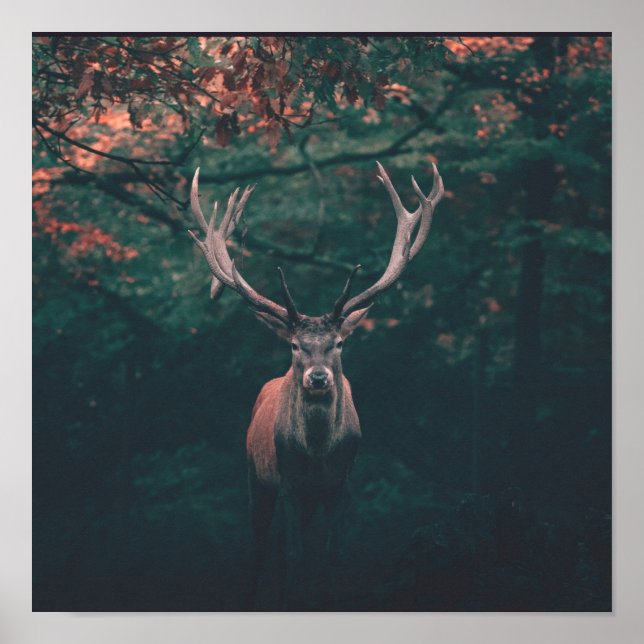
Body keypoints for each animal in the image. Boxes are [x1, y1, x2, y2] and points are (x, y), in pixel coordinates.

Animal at [188, 161, 444, 609]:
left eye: (338, 342)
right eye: (294, 345)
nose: (318, 377)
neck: (320, 454)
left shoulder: (342, 485)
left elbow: (333, 554)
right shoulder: (289, 482)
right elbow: (294, 554)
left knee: (274, 546)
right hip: (255, 475)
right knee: (260, 546)